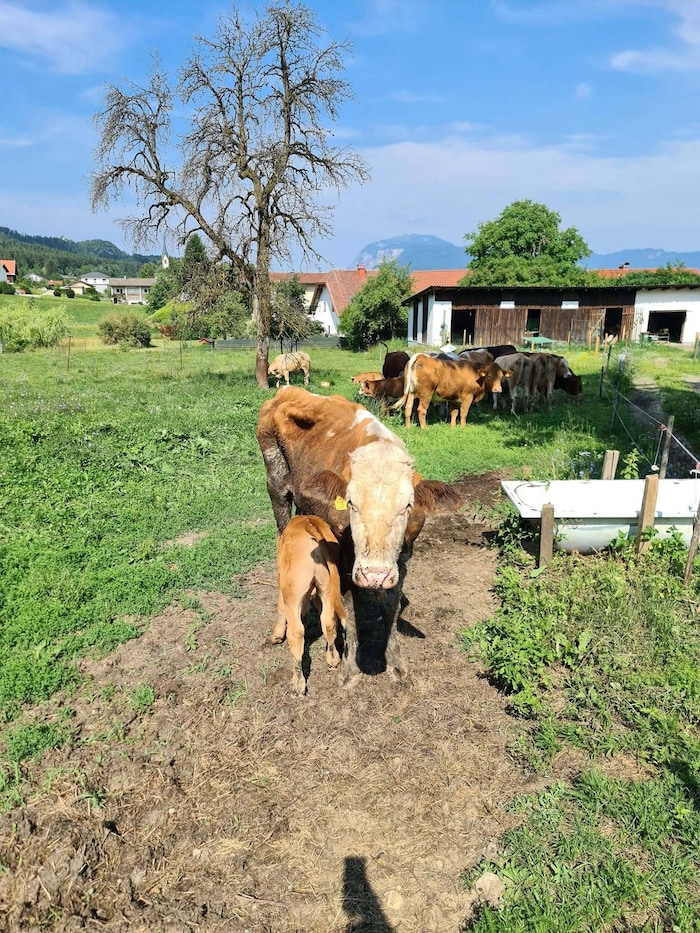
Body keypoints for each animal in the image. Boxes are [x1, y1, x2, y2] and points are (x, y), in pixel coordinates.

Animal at [269, 514, 346, 696]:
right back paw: (333, 659)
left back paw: (298, 683)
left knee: (296, 633)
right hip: (327, 588)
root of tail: (309, 523)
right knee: (328, 623)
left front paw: (276, 635)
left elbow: (281, 609)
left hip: (292, 593)